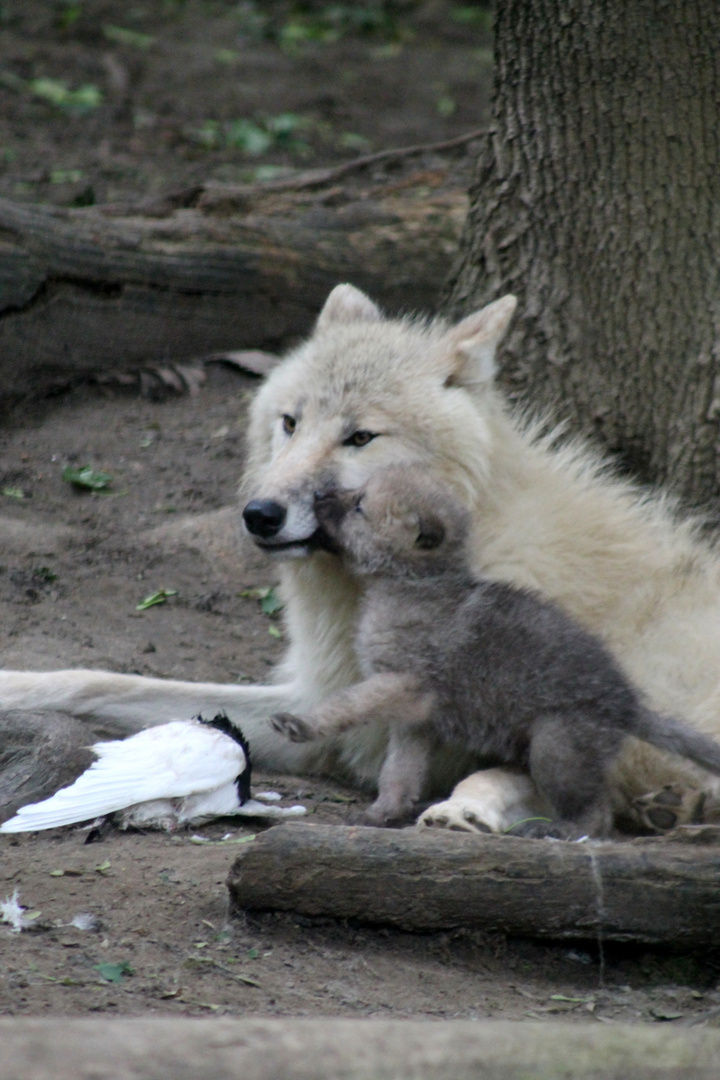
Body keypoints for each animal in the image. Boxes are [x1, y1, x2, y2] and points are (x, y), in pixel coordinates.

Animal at [1, 282, 720, 829]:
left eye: (360, 437)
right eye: (290, 422)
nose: (259, 514)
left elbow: (514, 772)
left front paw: (466, 810)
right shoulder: (324, 703)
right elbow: (107, 681)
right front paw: (16, 686)